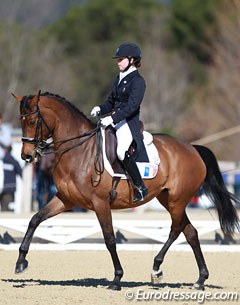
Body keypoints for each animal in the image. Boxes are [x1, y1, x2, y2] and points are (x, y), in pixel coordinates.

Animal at [12, 90, 239, 290]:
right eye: (21, 122)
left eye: (32, 122)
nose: (27, 156)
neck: (79, 150)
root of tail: (192, 148)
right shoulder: (65, 200)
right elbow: (35, 219)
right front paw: (21, 261)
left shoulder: (100, 203)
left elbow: (110, 239)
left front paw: (117, 278)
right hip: (166, 198)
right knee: (190, 232)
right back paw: (199, 279)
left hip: (177, 200)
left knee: (176, 229)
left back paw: (157, 268)